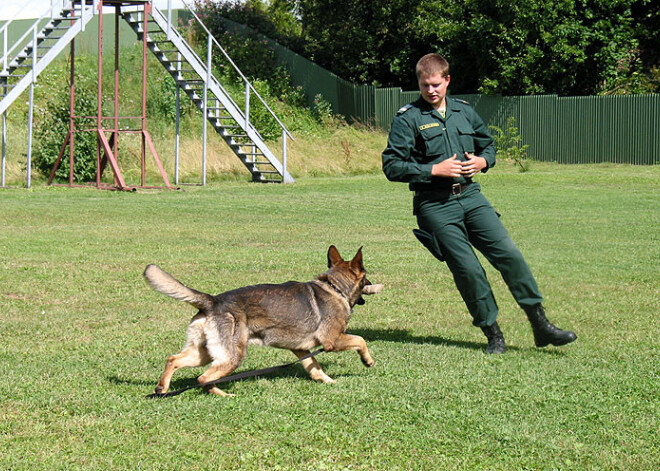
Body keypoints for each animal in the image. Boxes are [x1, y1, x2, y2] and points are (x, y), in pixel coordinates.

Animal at [144, 247, 382, 398]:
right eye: (365, 277)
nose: (372, 284)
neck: (335, 287)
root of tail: (213, 301)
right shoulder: (332, 340)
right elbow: (360, 340)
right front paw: (368, 360)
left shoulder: (301, 349)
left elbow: (314, 367)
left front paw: (328, 381)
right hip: (232, 357)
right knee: (203, 379)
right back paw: (224, 394)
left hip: (204, 353)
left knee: (173, 360)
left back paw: (162, 389)